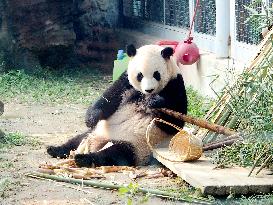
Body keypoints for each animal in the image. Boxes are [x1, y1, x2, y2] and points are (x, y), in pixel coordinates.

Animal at [47, 44, 187, 167]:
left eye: (156, 74)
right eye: (140, 75)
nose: (149, 90)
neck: (142, 94)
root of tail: (99, 142)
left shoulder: (175, 85)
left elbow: (173, 122)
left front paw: (154, 101)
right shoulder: (125, 82)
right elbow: (109, 98)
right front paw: (91, 118)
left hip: (136, 145)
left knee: (114, 154)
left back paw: (83, 158)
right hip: (96, 131)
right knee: (76, 140)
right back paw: (54, 149)